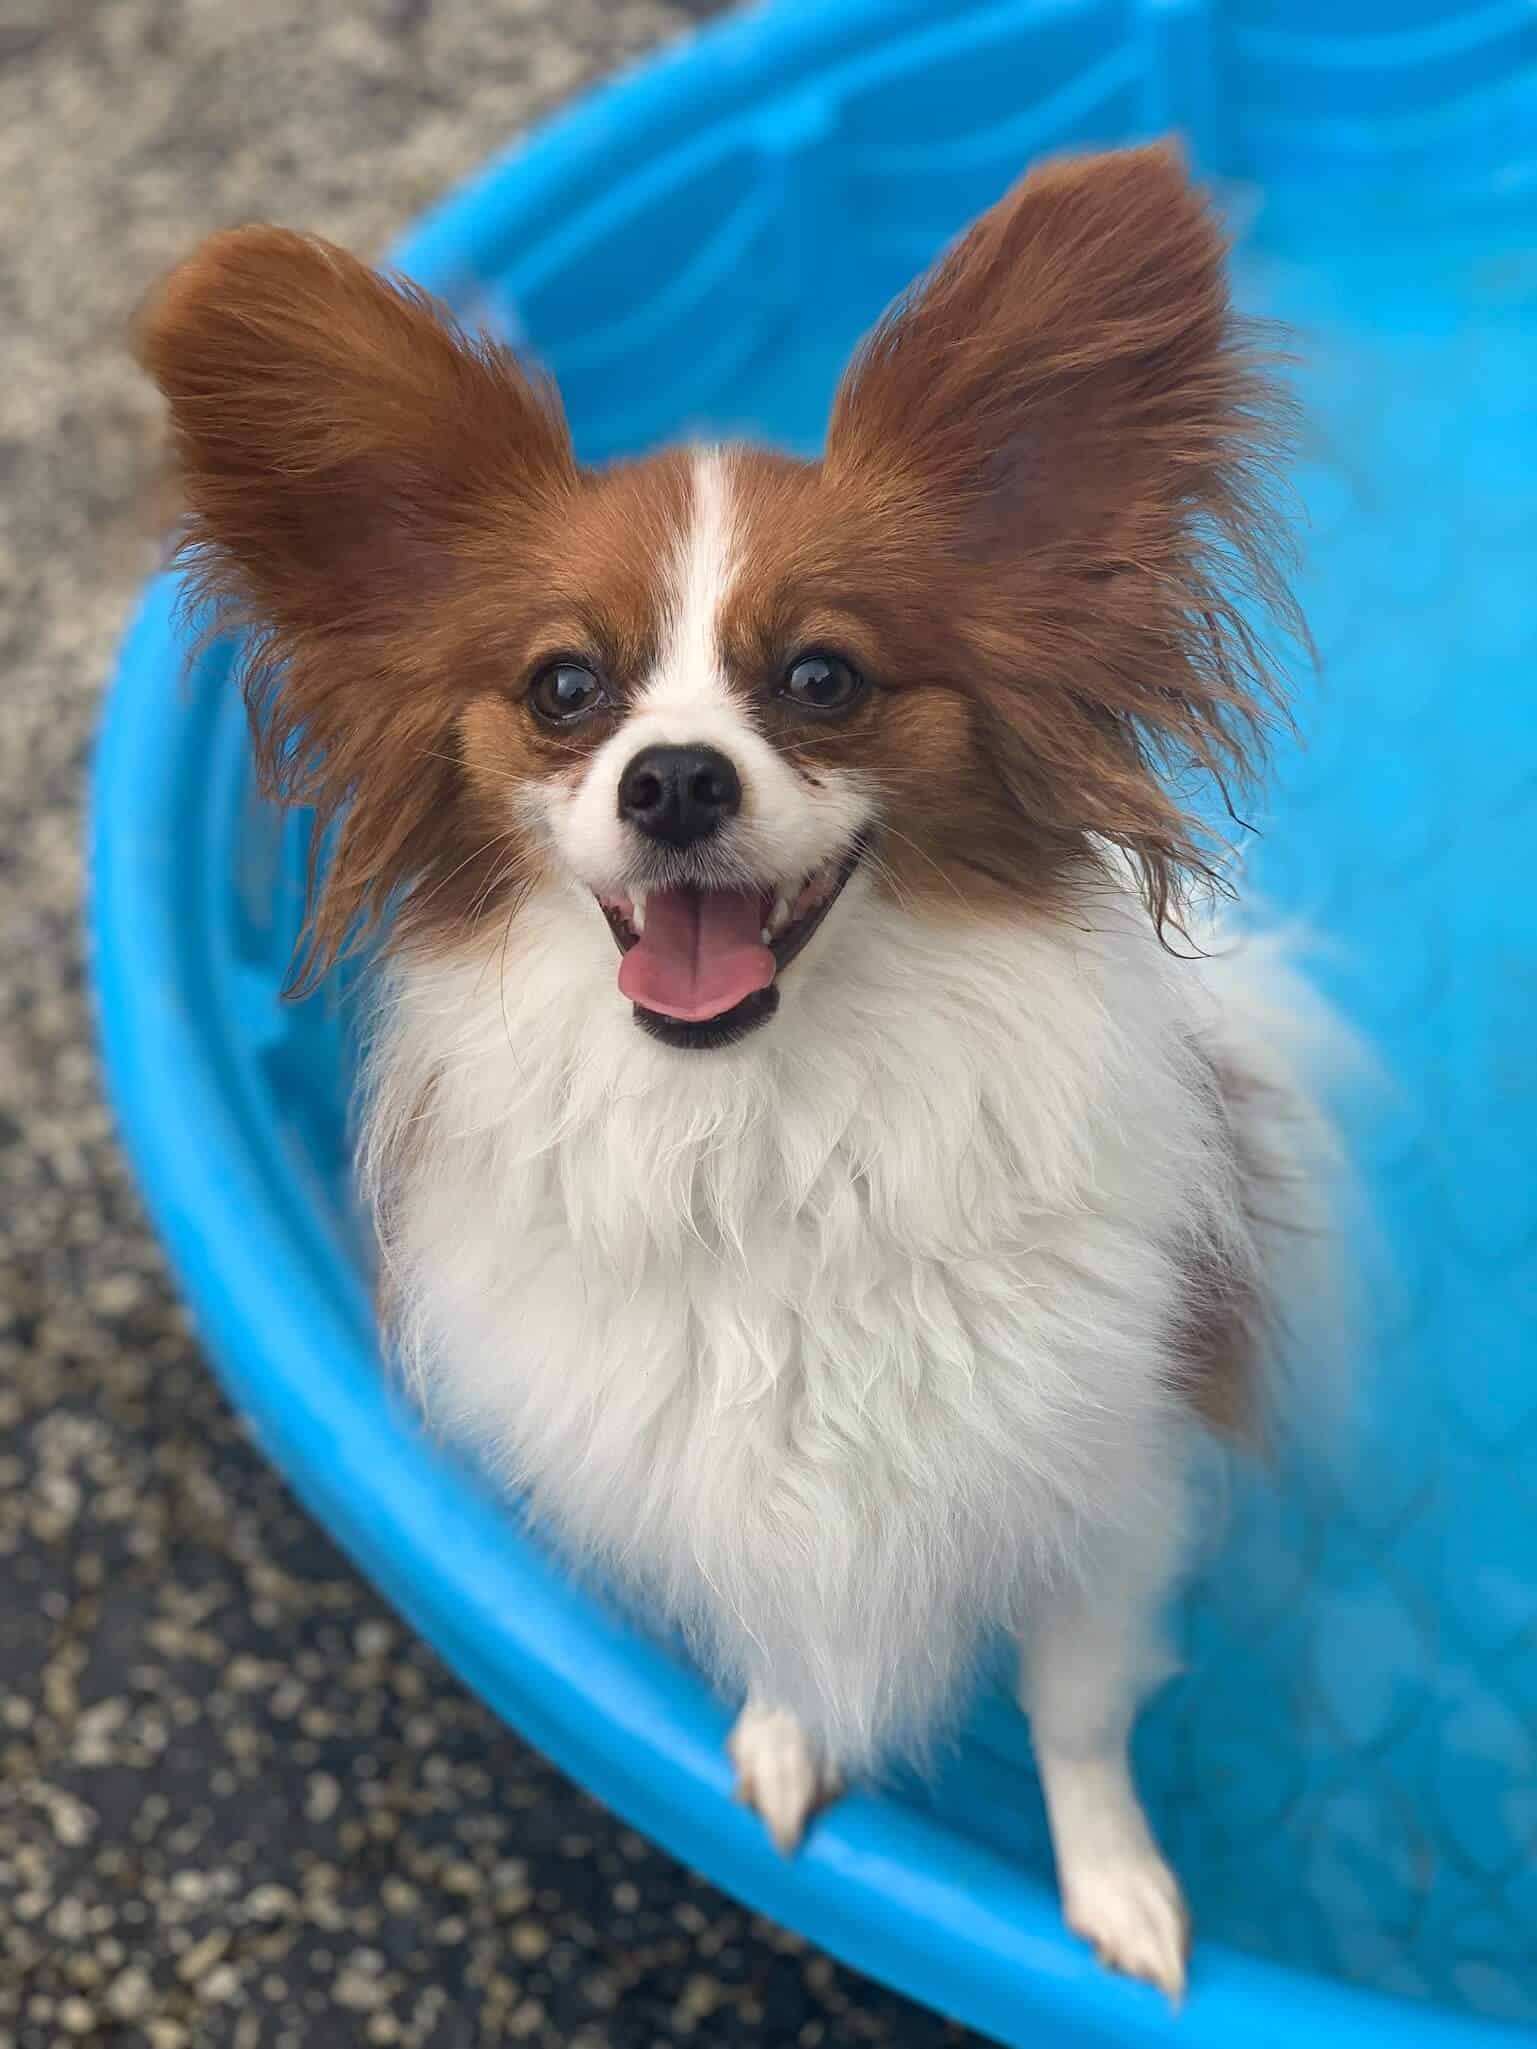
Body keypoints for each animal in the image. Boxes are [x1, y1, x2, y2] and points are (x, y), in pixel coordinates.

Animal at [141, 136, 1344, 1991]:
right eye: (566, 688)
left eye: (823, 676)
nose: (674, 780)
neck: (767, 1131)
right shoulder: (705, 1482)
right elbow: (777, 1632)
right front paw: (788, 1738)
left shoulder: (1101, 1495)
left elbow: (1074, 1720)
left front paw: (1112, 1890)